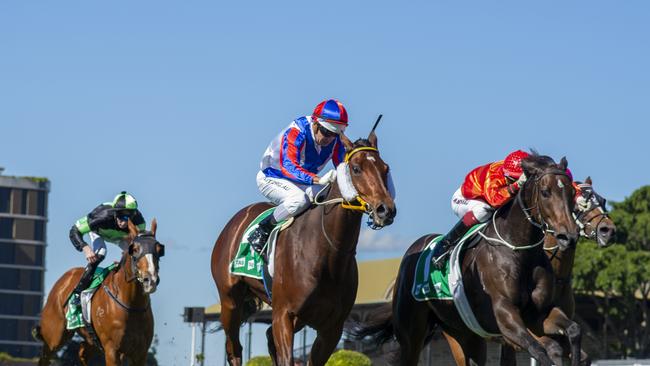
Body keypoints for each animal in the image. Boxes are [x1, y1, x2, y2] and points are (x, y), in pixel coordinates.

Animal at [33, 220, 166, 366]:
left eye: (159, 250)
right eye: (135, 249)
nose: (150, 280)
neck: (131, 305)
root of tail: (64, 279)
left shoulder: (140, 353)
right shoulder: (112, 350)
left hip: (91, 340)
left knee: (82, 352)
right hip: (54, 337)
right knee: (45, 357)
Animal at [211, 132, 394, 366]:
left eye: (385, 168)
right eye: (356, 168)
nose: (385, 210)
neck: (326, 253)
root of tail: (236, 221)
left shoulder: (331, 327)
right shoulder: (284, 314)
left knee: (268, 337)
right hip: (230, 301)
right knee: (234, 348)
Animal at [356, 155, 580, 366]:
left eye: (571, 193)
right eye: (545, 192)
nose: (568, 236)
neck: (518, 249)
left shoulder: (537, 314)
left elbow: (573, 330)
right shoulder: (505, 316)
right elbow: (539, 349)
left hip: (464, 334)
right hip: (411, 334)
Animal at [498, 177, 616, 364]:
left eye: (602, 201)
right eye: (578, 205)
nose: (608, 231)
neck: (557, 276)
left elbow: (582, 354)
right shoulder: (531, 329)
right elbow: (553, 350)